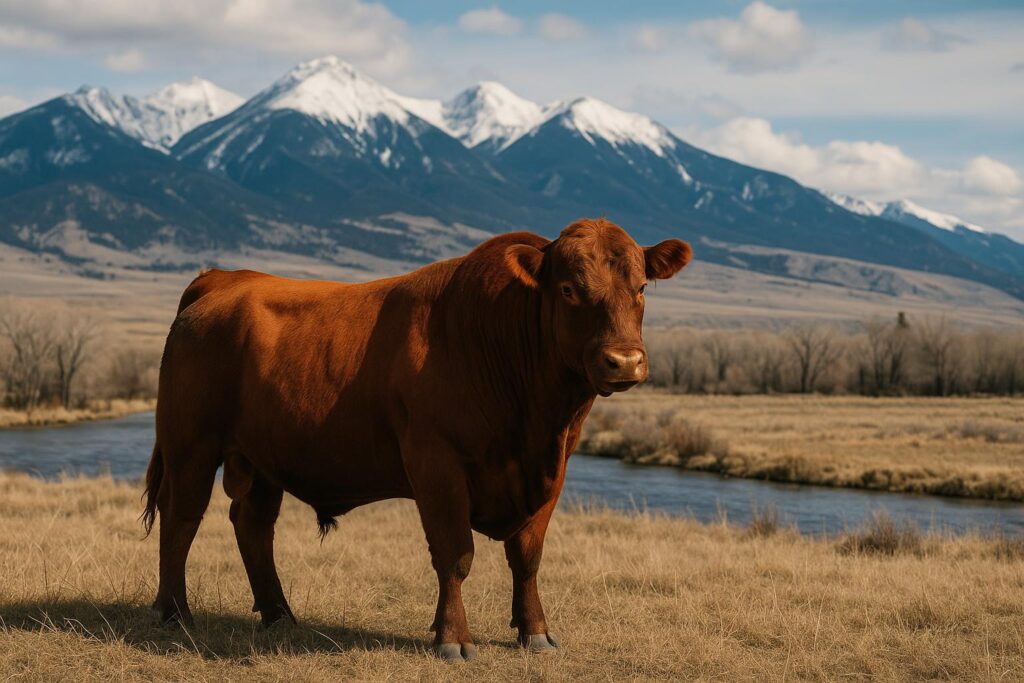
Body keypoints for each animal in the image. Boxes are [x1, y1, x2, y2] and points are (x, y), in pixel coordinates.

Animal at [142, 217, 691, 661]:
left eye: (642, 287)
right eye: (568, 289)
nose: (623, 361)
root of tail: (223, 279)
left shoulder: (551, 472)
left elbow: (527, 556)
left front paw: (535, 633)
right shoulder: (437, 464)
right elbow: (455, 553)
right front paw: (453, 639)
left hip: (261, 459)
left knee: (252, 525)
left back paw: (280, 614)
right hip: (190, 448)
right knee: (180, 519)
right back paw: (174, 614)